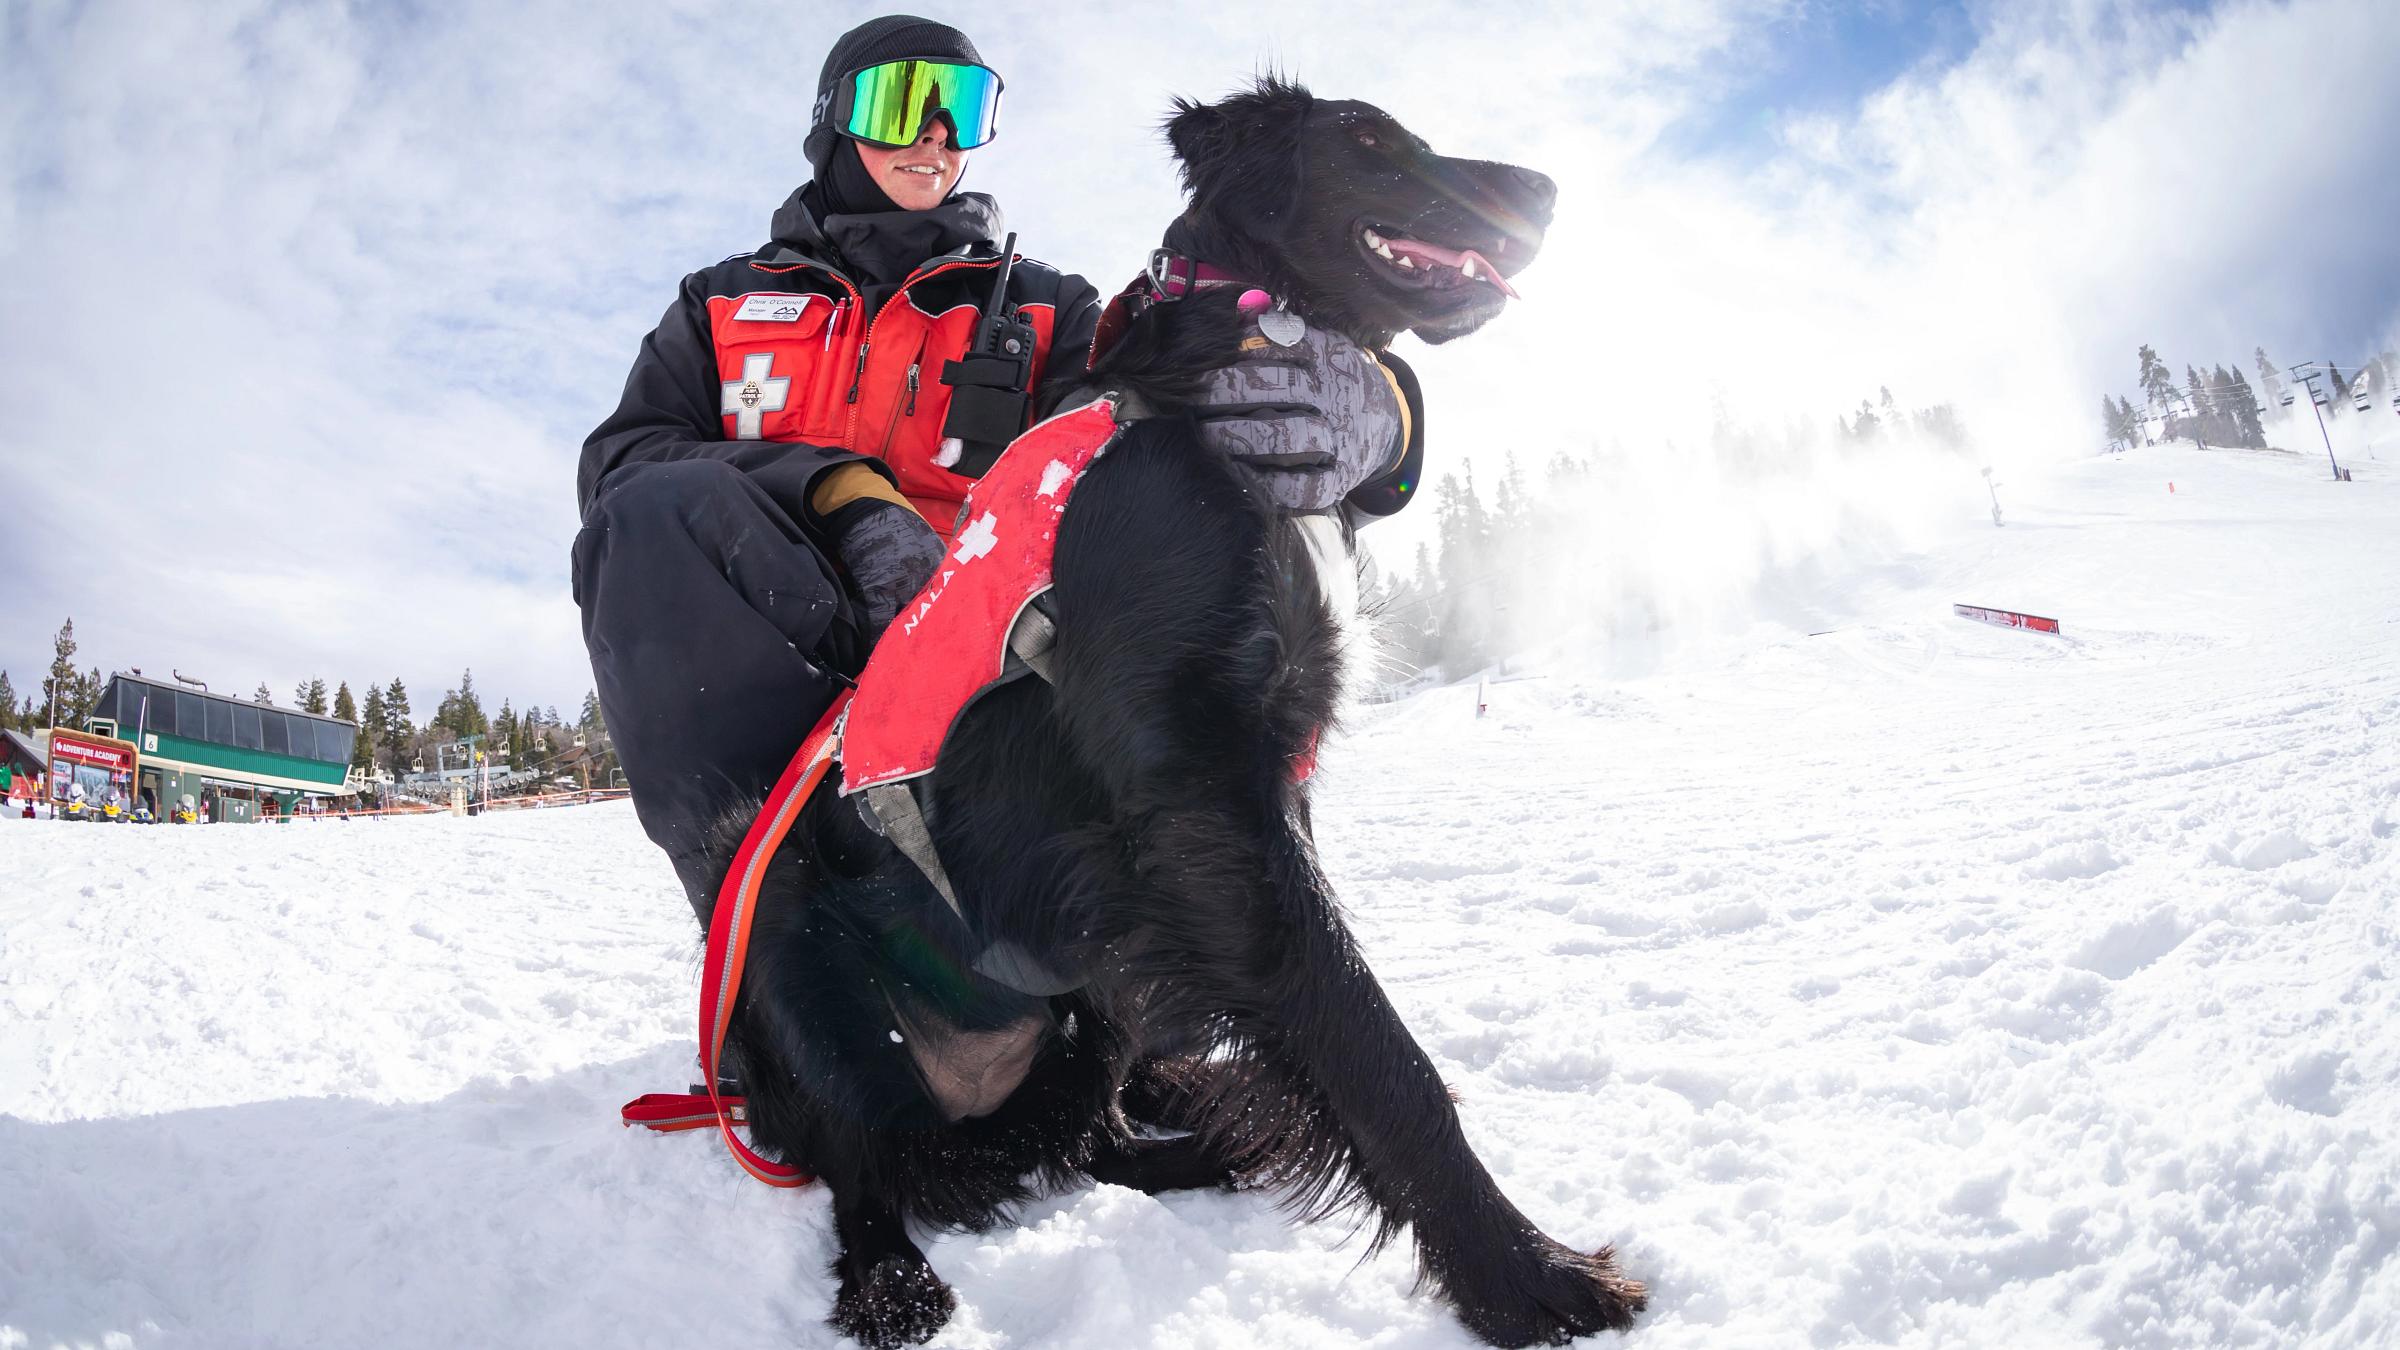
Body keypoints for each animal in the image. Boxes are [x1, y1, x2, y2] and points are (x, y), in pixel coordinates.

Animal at [700, 78, 1641, 1335]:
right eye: (1368, 140)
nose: (1544, 190)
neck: (1219, 392)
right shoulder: (1202, 799)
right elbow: (1375, 1047)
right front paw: (1525, 1277)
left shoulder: (1244, 804)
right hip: (787, 939)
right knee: (868, 1170)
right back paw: (895, 1281)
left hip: (1091, 974)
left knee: (1091, 1140)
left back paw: (1223, 1142)